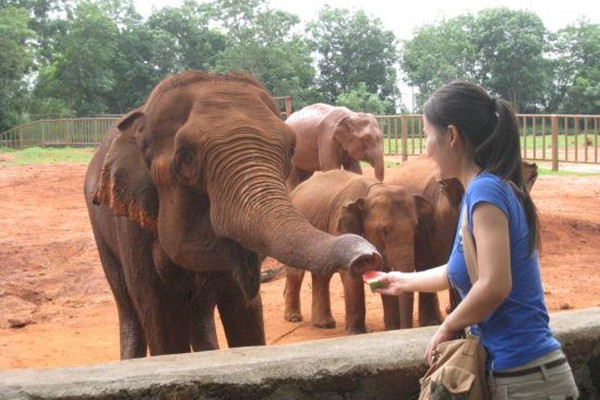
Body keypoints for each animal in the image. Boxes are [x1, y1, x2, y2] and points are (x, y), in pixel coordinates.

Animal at [84, 72, 380, 360]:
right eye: (187, 159)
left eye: (289, 150)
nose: (367, 256)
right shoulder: (131, 222)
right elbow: (159, 311)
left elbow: (242, 308)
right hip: (100, 229)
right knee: (128, 303)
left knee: (201, 306)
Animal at [282, 170, 432, 332]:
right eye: (383, 230)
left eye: (416, 227)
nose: (404, 328)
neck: (370, 191)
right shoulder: (340, 225)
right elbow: (349, 271)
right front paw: (355, 332)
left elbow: (381, 269)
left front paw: (391, 329)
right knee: (296, 272)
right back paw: (293, 318)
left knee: (322, 274)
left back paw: (324, 324)